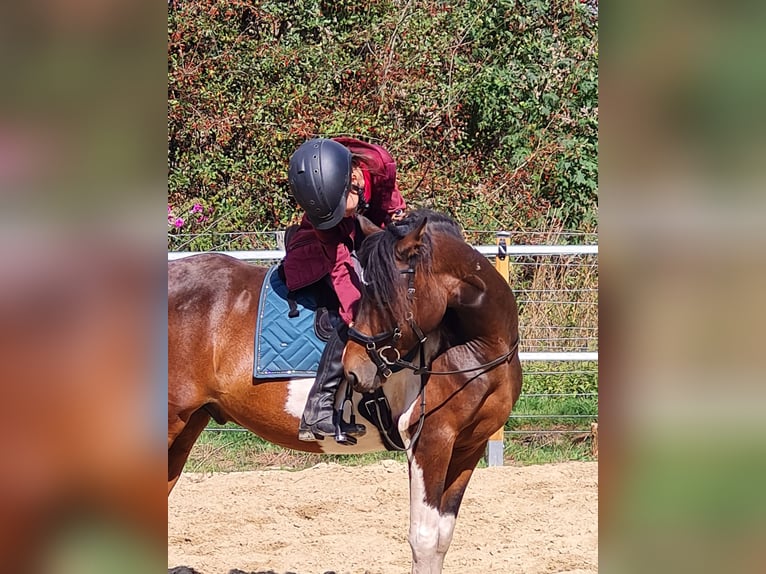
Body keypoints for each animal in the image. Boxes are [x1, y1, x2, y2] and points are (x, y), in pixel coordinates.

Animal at [167, 209, 522, 574]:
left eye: (382, 297)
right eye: (364, 294)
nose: (353, 369)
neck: (479, 346)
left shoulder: (468, 446)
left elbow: (442, 538)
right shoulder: (430, 441)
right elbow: (423, 538)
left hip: (189, 424)